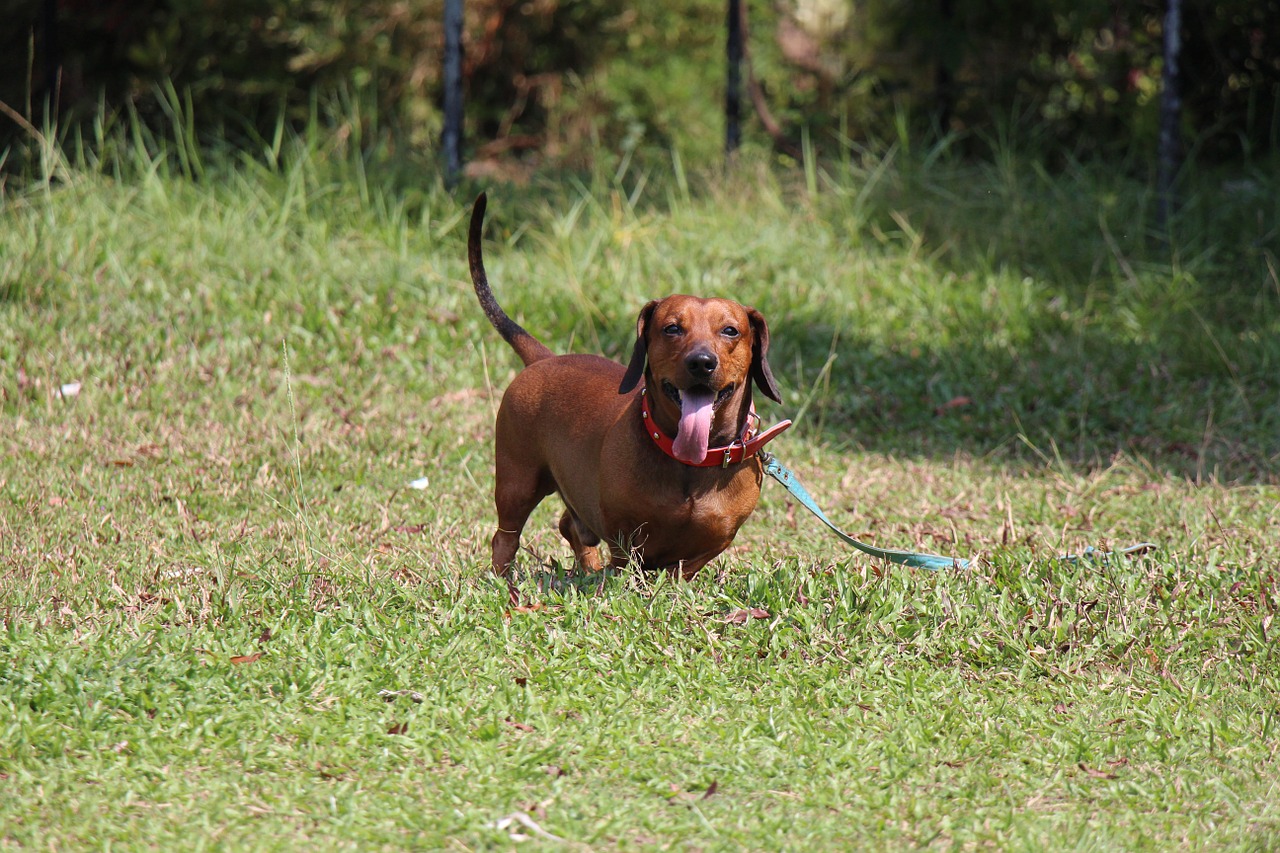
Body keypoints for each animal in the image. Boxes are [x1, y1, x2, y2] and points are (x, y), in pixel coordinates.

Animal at [471, 192, 788, 578]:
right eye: (671, 328)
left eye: (730, 330)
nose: (701, 362)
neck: (690, 463)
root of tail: (544, 359)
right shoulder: (625, 541)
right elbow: (625, 566)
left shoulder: (703, 551)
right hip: (518, 484)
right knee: (505, 539)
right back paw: (505, 581)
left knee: (570, 526)